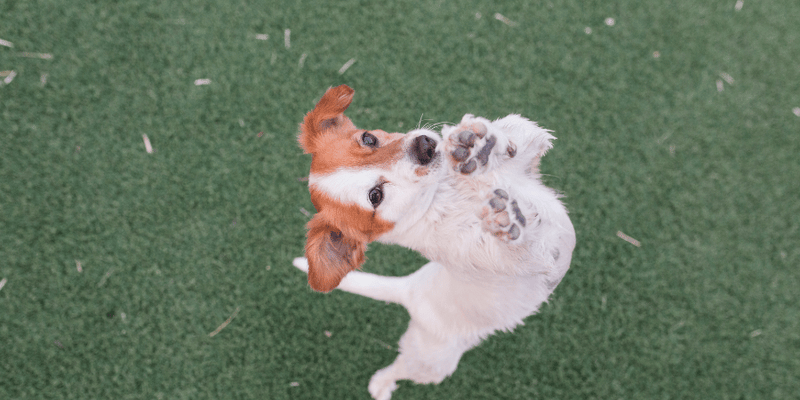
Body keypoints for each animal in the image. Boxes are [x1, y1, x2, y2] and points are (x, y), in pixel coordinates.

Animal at [294, 85, 576, 400]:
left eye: (368, 138)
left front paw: (480, 144)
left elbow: (517, 129)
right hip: (430, 362)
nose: (425, 145)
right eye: (375, 196)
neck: (445, 191)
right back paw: (381, 384)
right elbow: (522, 245)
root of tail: (409, 289)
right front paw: (509, 219)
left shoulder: (528, 160)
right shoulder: (524, 260)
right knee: (400, 367)